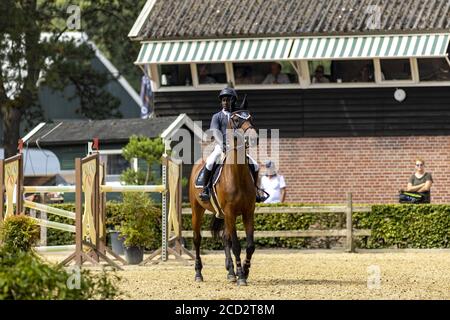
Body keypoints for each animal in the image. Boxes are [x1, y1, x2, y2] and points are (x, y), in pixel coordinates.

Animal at [189, 109, 256, 284]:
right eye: (236, 120)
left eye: (251, 118)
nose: (253, 137)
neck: (238, 175)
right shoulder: (231, 213)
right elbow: (236, 246)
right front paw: (241, 277)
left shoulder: (248, 213)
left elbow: (249, 245)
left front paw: (244, 271)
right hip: (197, 209)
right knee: (197, 239)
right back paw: (198, 273)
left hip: (224, 215)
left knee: (225, 238)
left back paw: (231, 272)